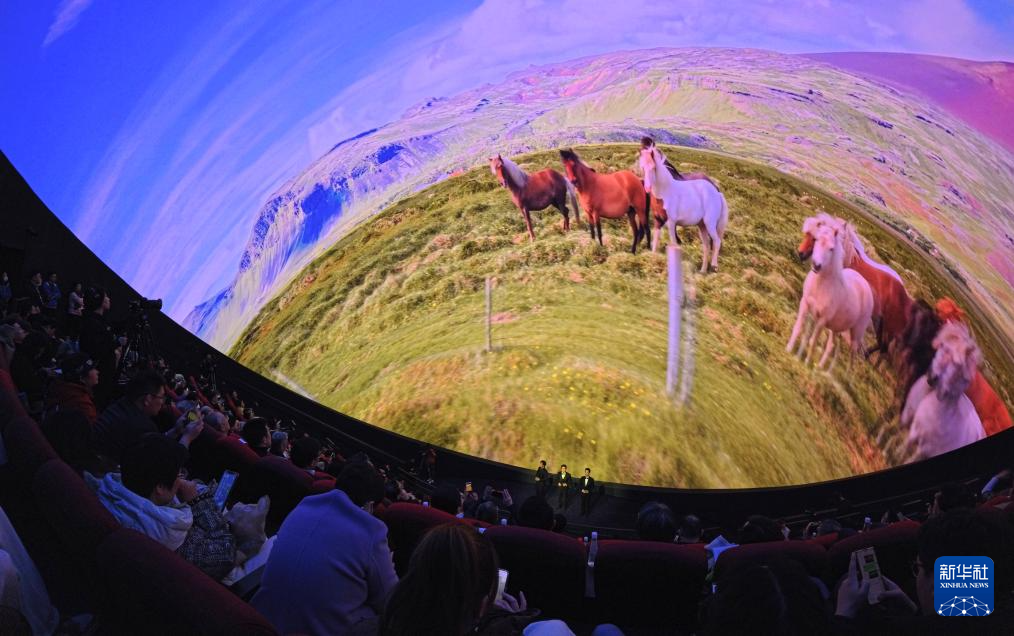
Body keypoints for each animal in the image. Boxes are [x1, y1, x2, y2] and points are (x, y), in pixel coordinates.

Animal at [786, 223, 874, 370]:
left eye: (831, 248)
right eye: (816, 240)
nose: (816, 266)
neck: (821, 285)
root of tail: (865, 284)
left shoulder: (822, 320)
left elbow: (813, 341)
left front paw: (805, 363)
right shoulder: (805, 305)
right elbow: (798, 329)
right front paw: (789, 350)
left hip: (856, 333)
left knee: (852, 356)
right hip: (836, 328)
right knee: (831, 346)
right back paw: (820, 369)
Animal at [796, 213, 912, 357]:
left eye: (814, 238)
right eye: (807, 234)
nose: (800, 253)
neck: (846, 260)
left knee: (882, 346)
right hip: (880, 322)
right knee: (881, 345)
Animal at [899, 321, 985, 461]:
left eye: (957, 364)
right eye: (942, 346)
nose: (932, 377)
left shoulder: (925, 449)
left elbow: (910, 457)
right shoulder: (911, 425)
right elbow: (903, 445)